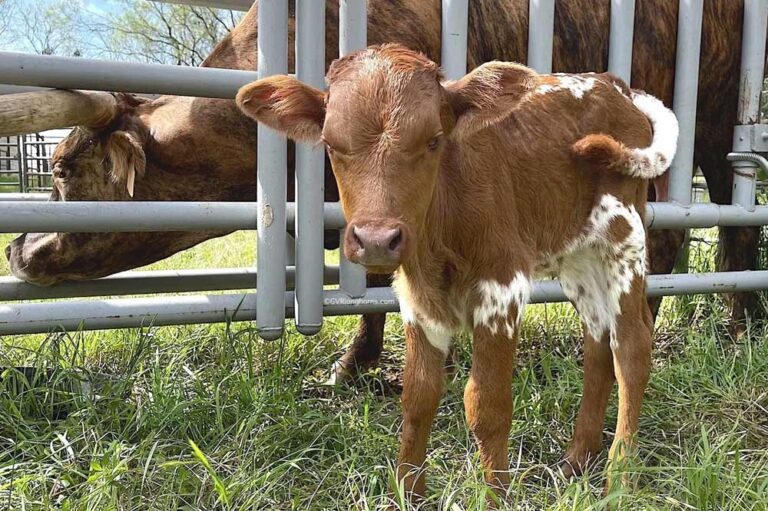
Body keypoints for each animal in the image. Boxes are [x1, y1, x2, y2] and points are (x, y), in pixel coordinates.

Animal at [0, 1, 754, 381]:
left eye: (60, 168)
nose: (18, 249)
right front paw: (356, 362)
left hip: (711, 125)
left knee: (722, 226)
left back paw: (724, 330)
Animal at [234, 43, 679, 498]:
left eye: (434, 140)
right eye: (331, 143)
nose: (377, 239)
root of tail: (613, 84)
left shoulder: (502, 288)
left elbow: (487, 405)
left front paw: (496, 496)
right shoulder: (417, 299)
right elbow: (418, 397)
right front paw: (407, 493)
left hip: (623, 241)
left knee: (632, 345)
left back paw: (620, 477)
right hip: (578, 256)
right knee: (597, 343)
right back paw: (575, 462)